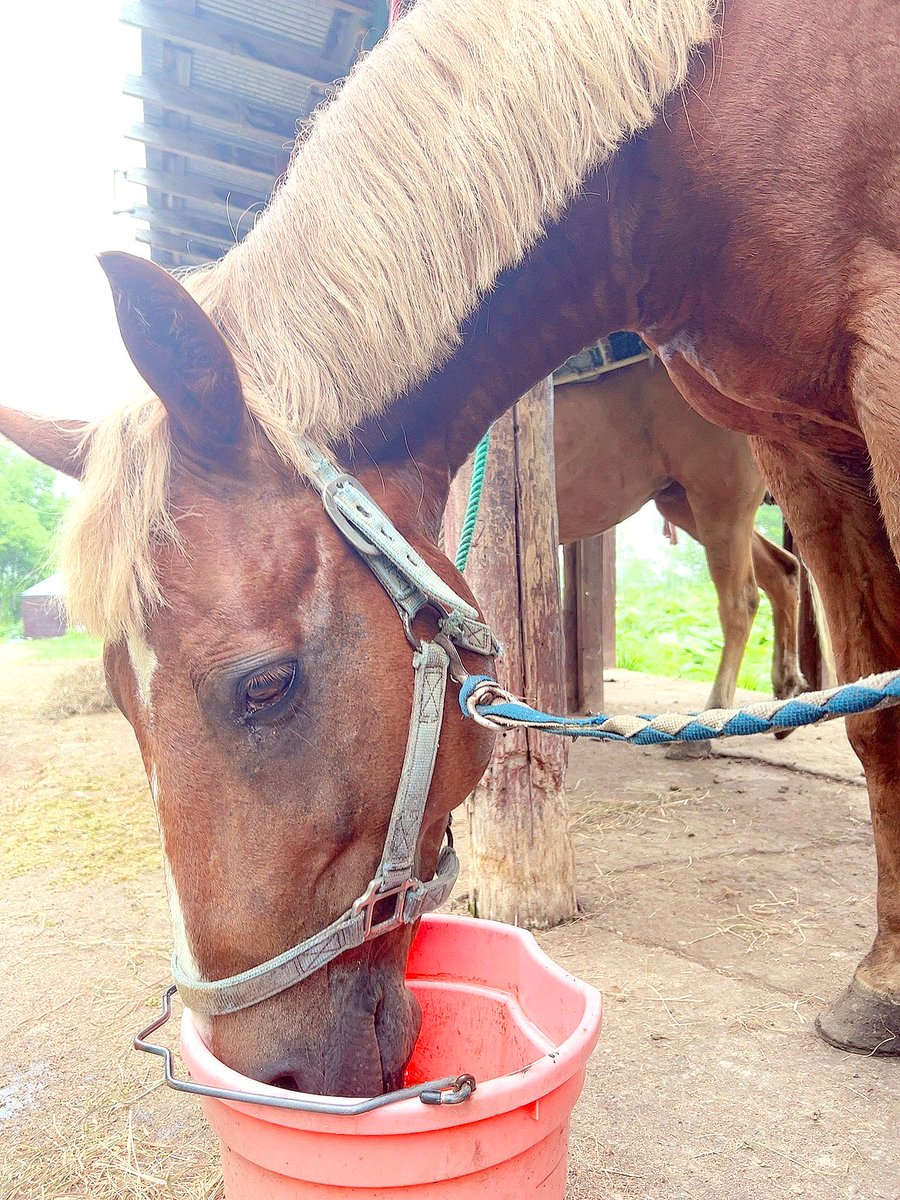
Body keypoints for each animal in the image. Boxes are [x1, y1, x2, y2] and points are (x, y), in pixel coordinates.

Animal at [553, 358, 808, 733]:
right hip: (682, 502)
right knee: (783, 570)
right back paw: (786, 689)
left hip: (719, 499)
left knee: (740, 602)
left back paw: (713, 714)